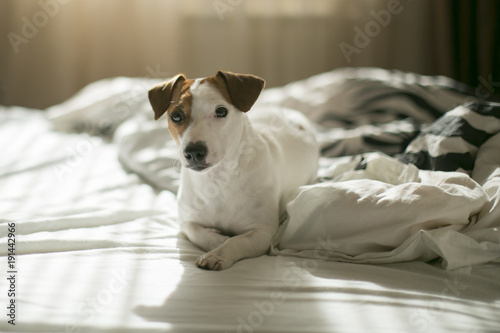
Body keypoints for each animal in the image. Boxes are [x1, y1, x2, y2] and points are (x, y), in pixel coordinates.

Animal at [148, 70, 318, 270]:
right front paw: (218, 240)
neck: (218, 179)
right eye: (176, 116)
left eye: (221, 111)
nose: (194, 152)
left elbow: (237, 241)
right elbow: (201, 234)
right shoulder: (187, 223)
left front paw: (217, 254)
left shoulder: (262, 232)